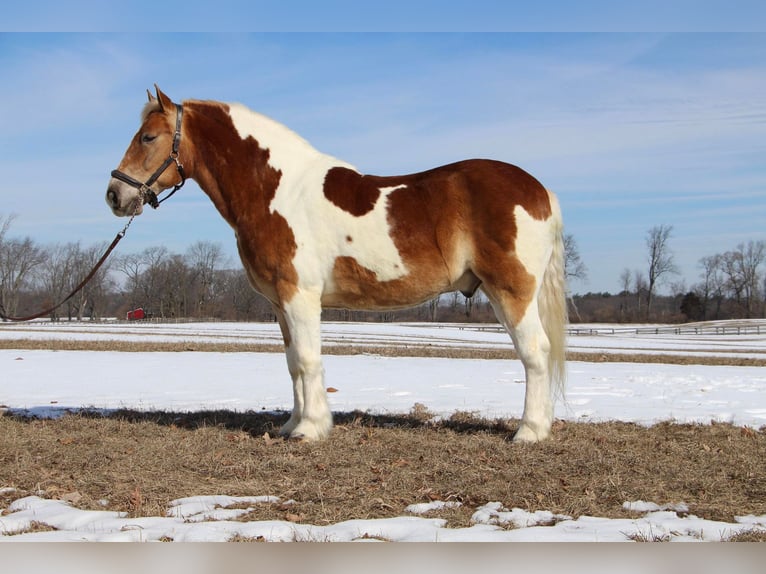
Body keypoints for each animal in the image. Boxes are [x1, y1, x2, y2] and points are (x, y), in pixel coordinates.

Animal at [105, 86, 568, 446]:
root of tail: (538, 189)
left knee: (536, 352)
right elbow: (293, 362)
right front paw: (292, 424)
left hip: (511, 291)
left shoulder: (300, 296)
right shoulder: (280, 303)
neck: (275, 191)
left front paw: (310, 429)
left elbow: (309, 360)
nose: (114, 195)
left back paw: (529, 432)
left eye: (147, 137)